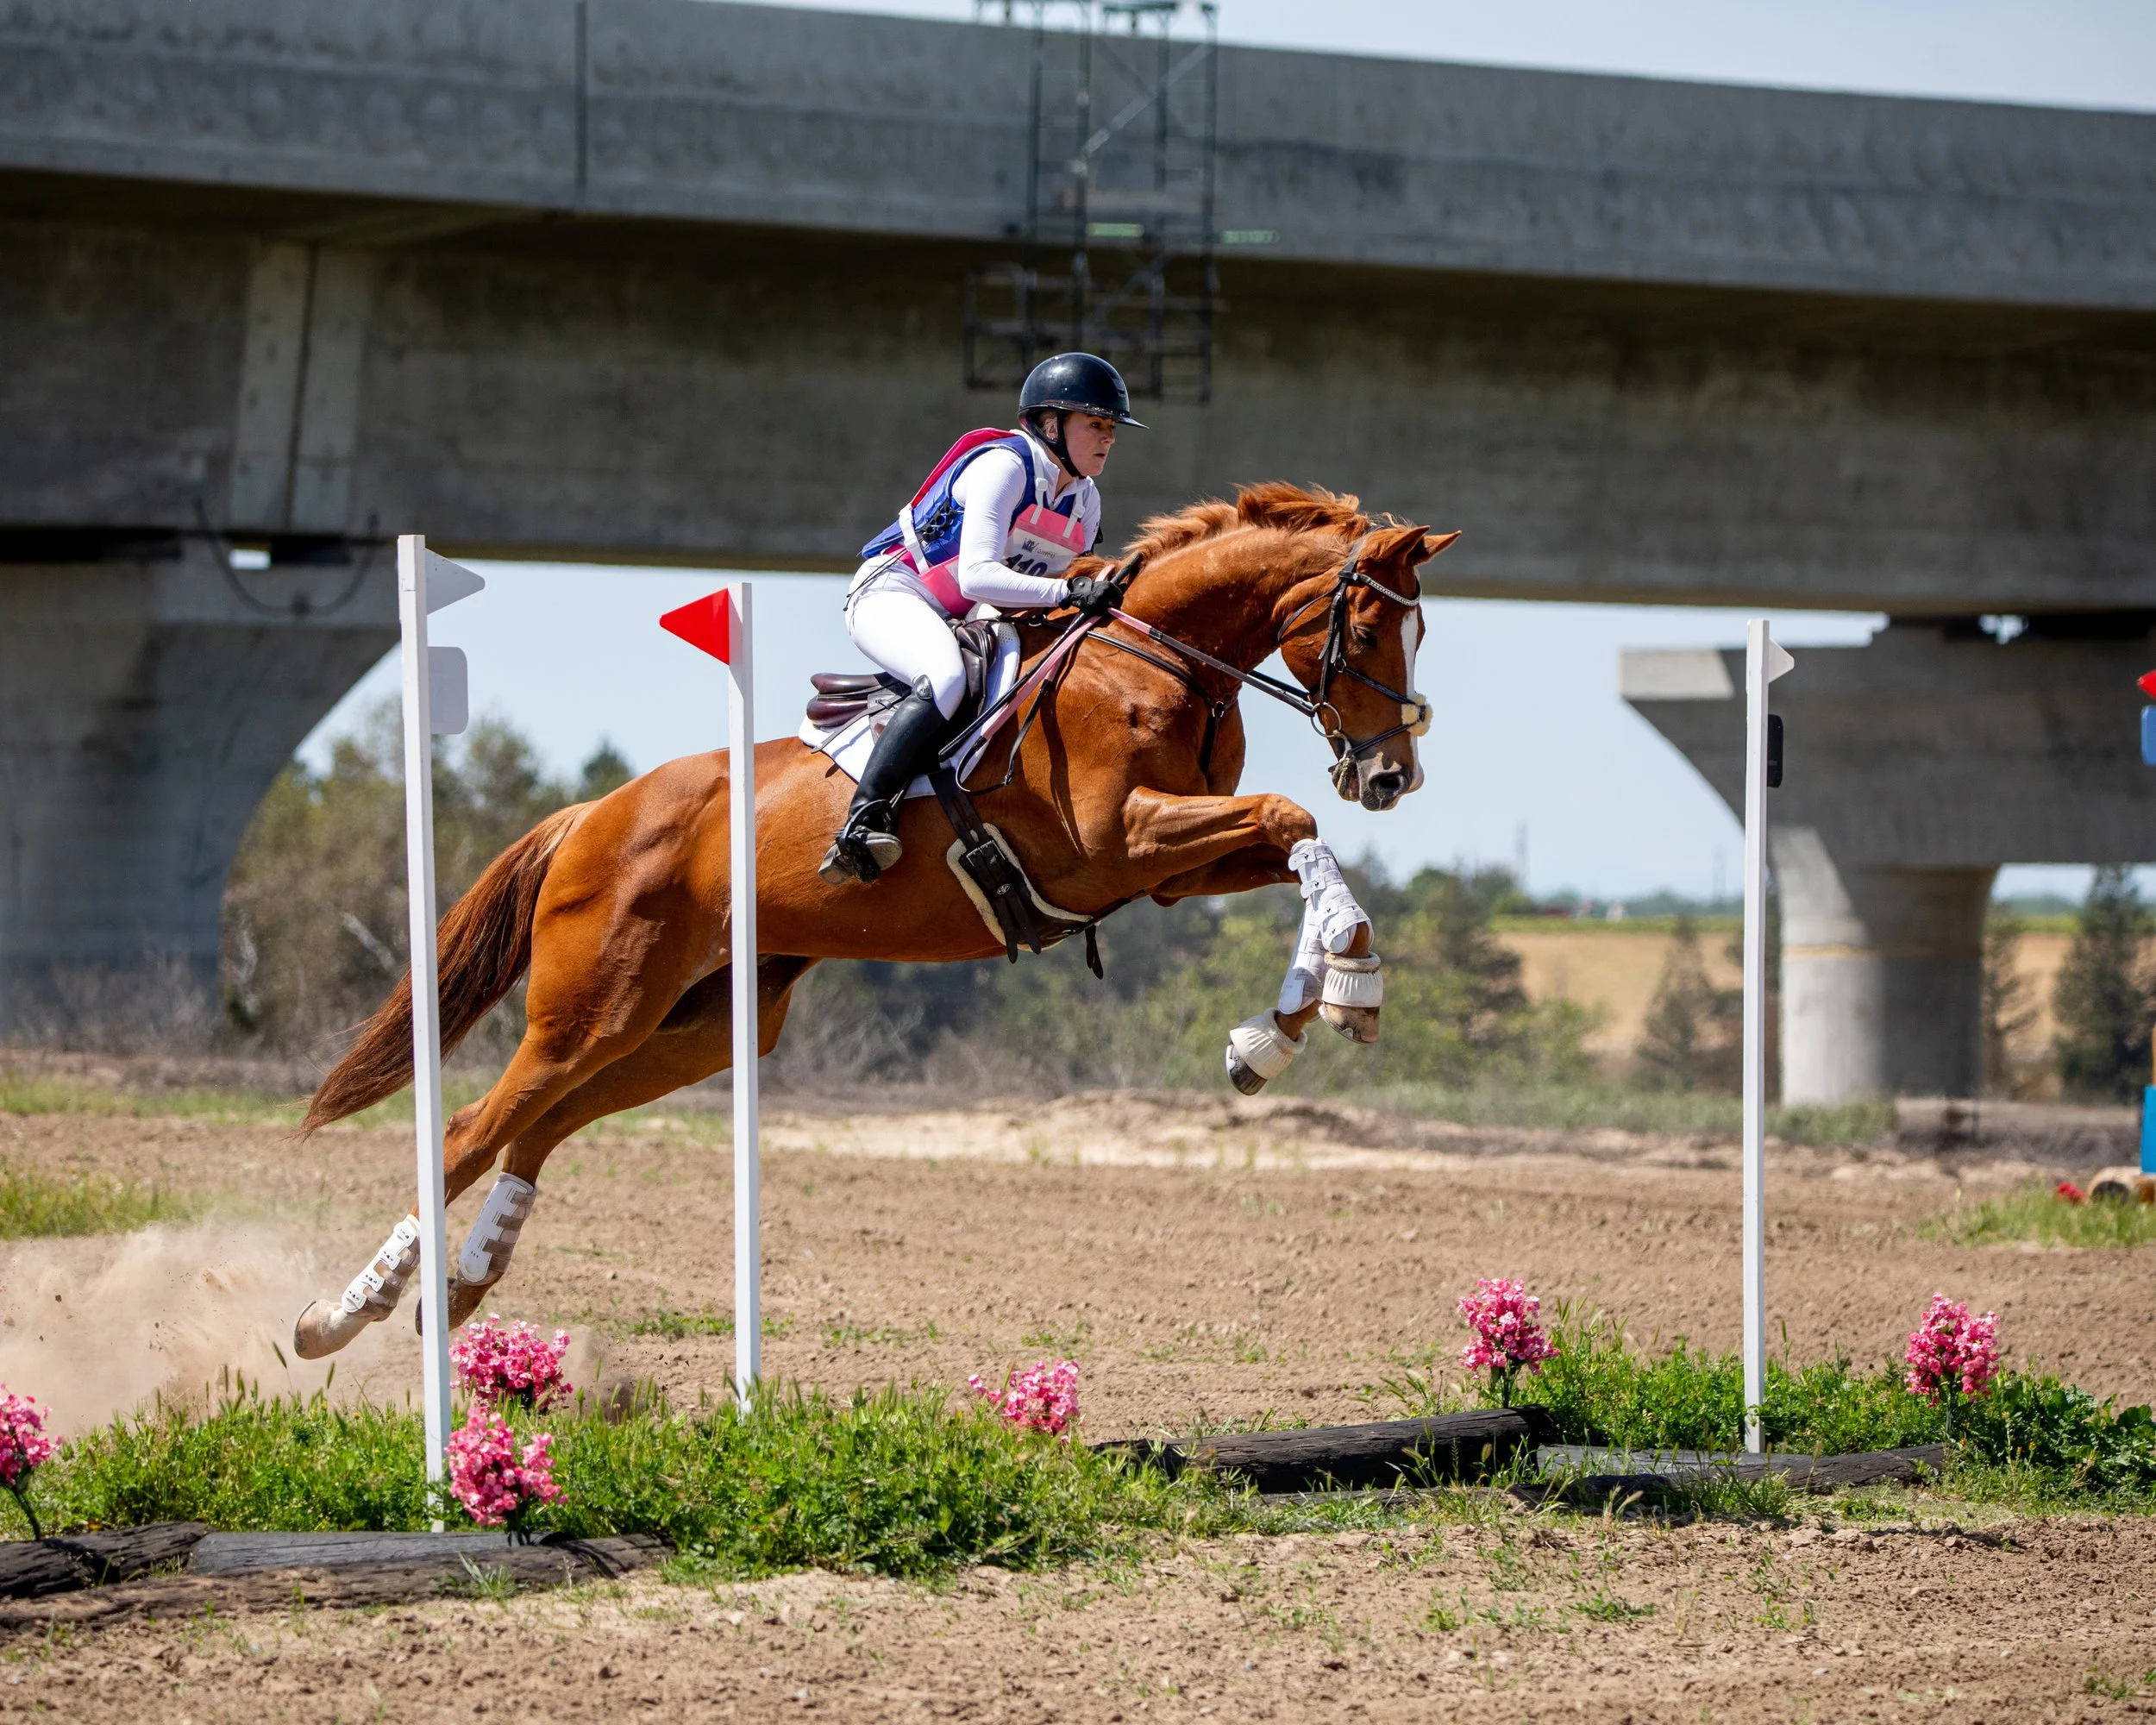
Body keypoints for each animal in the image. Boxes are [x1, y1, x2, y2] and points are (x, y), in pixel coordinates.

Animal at [289, 482, 1457, 1358]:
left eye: (1419, 628)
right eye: (1364, 625)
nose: (1391, 775)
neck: (1154, 661)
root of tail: (594, 813)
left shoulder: (1169, 868)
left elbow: (1302, 845)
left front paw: (1305, 1012)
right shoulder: (1120, 840)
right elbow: (1290, 814)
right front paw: (1320, 1004)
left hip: (703, 1022)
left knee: (537, 1127)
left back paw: (462, 1285)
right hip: (592, 1006)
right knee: (467, 1129)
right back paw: (343, 1314)